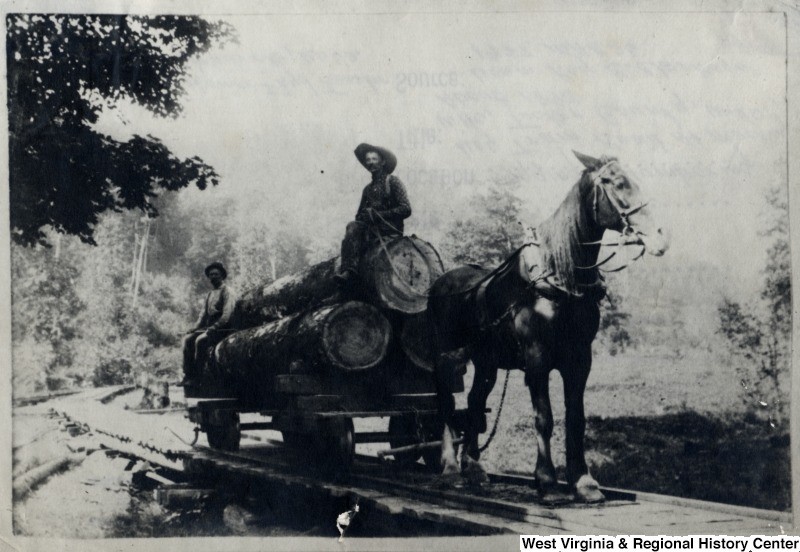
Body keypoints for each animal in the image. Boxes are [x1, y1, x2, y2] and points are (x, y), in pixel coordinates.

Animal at [432, 152, 668, 504]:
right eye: (614, 182)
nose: (659, 237)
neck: (560, 278)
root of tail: (441, 283)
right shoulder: (537, 359)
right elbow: (544, 417)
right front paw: (546, 481)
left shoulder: (580, 360)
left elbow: (576, 418)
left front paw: (583, 482)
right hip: (447, 359)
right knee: (446, 405)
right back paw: (449, 468)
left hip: (486, 362)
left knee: (474, 402)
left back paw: (474, 468)